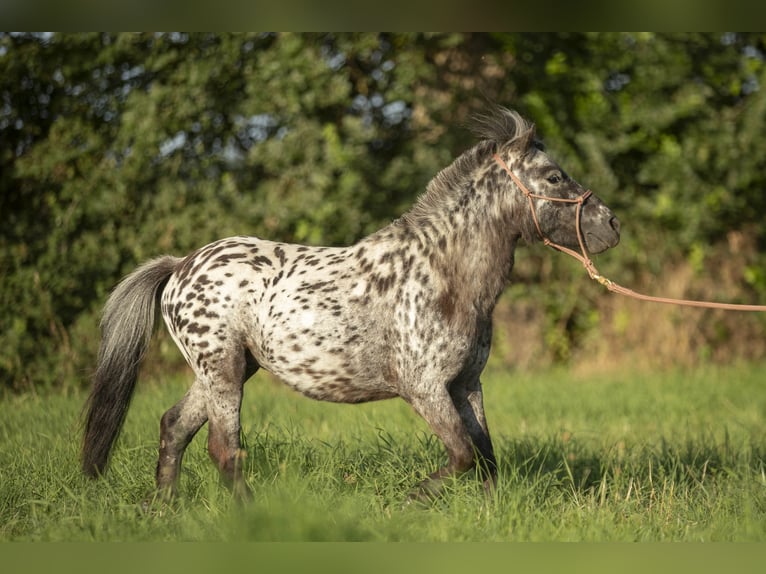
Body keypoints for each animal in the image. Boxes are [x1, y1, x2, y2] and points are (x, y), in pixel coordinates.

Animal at [82, 106, 624, 502]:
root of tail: (180, 266)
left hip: (229, 369)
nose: (612, 225)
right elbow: (463, 457)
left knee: (175, 428)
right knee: (224, 449)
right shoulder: (424, 389)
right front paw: (409, 502)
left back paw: (165, 508)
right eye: (554, 177)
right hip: (223, 370)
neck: (443, 275)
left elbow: (486, 458)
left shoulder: (467, 384)